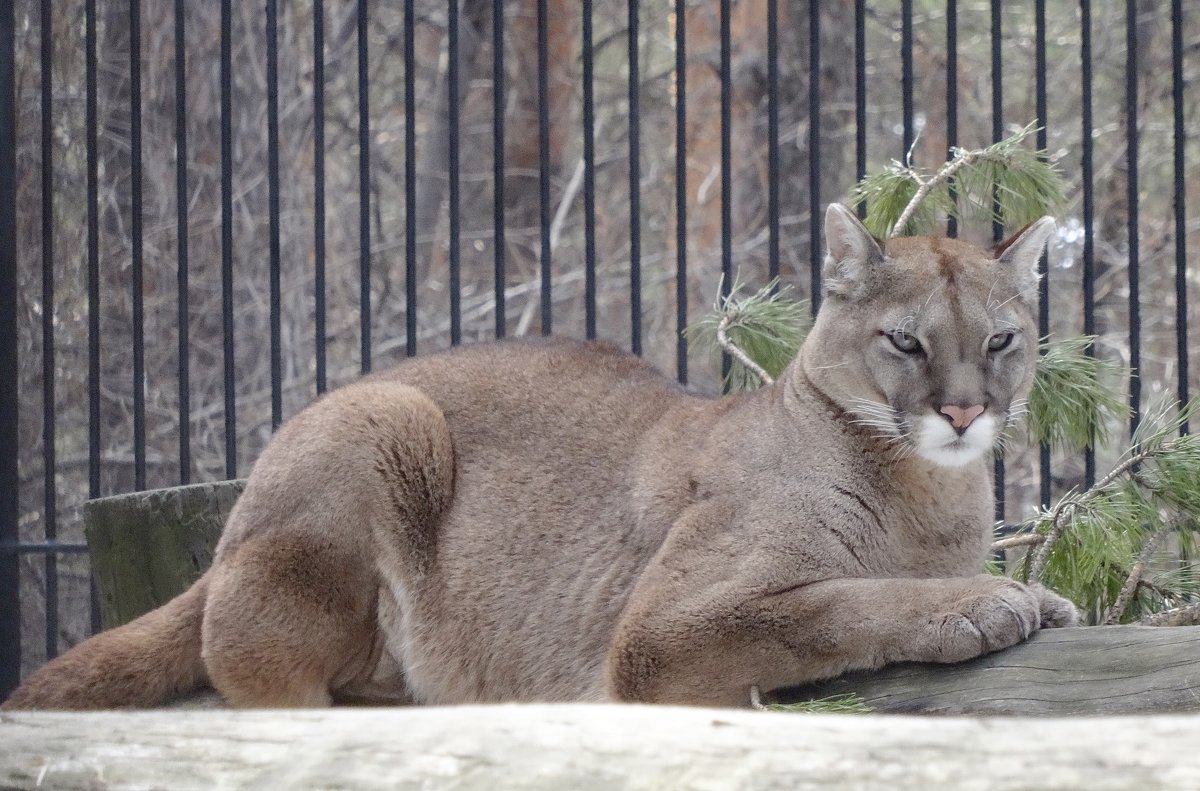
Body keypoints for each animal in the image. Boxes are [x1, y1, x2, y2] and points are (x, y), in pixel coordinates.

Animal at [2, 204, 1080, 710]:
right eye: (905, 341)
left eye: (1000, 340)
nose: (964, 410)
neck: (926, 488)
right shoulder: (660, 629)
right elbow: (835, 602)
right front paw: (984, 602)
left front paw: (1034, 594)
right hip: (382, 417)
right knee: (245, 657)